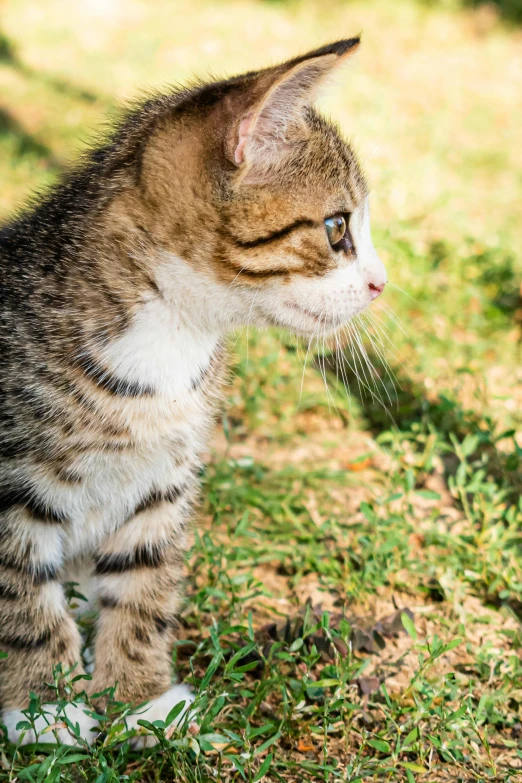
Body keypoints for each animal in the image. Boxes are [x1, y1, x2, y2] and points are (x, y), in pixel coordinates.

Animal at [0, 38, 382, 748]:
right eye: (337, 227)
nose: (381, 283)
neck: (173, 338)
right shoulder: (10, 487)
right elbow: (21, 593)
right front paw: (43, 710)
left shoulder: (164, 481)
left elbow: (144, 586)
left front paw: (140, 699)